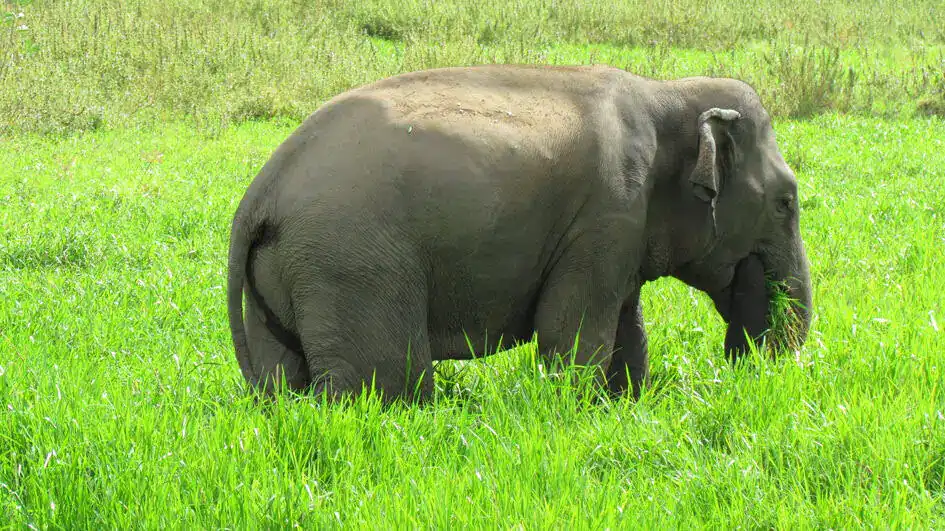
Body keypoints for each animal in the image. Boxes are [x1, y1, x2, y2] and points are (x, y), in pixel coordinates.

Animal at [226, 64, 812, 401]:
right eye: (786, 202)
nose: (740, 363)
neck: (666, 94)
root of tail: (260, 193)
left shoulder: (619, 229)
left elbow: (627, 328)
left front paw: (623, 405)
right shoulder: (607, 213)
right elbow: (573, 332)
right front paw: (578, 409)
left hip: (287, 272)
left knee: (282, 378)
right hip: (350, 265)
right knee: (386, 381)